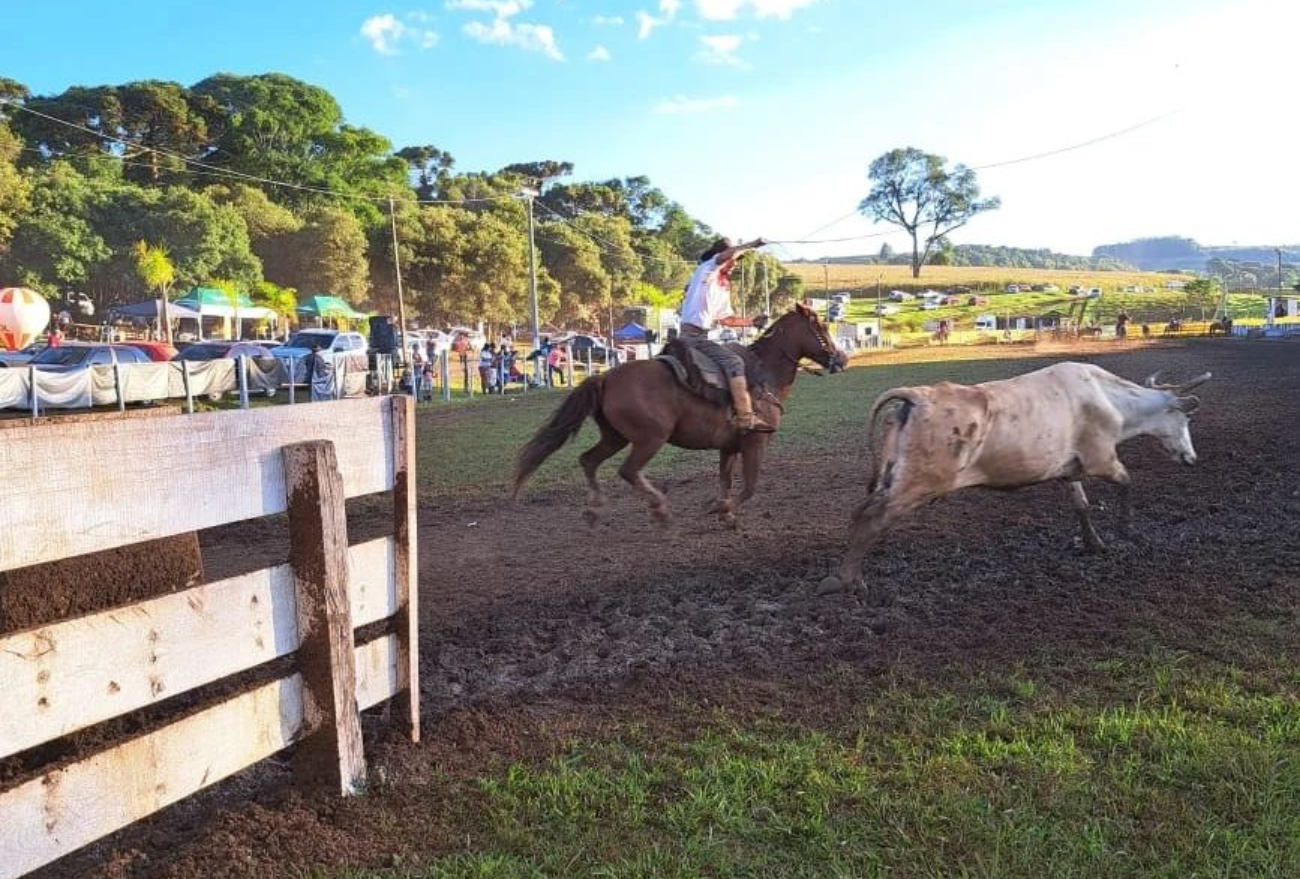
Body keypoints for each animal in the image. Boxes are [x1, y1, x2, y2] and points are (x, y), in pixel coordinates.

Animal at [512, 304, 847, 522]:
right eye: (821, 327)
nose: (842, 358)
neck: (765, 375)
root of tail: (605, 377)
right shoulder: (755, 443)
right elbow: (750, 487)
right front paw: (722, 510)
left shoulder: (729, 446)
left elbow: (725, 480)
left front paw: (723, 510)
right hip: (650, 439)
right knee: (627, 471)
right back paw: (659, 507)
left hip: (615, 437)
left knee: (588, 460)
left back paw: (595, 508)